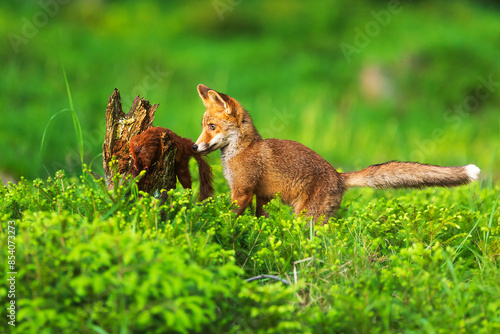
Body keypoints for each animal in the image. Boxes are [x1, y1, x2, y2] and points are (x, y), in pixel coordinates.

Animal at [192, 85, 480, 223]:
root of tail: (339, 176)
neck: (242, 150)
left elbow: (231, 216)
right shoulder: (260, 196)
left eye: (212, 127)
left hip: (307, 218)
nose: (194, 147)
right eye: (203, 126)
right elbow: (260, 217)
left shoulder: (243, 191)